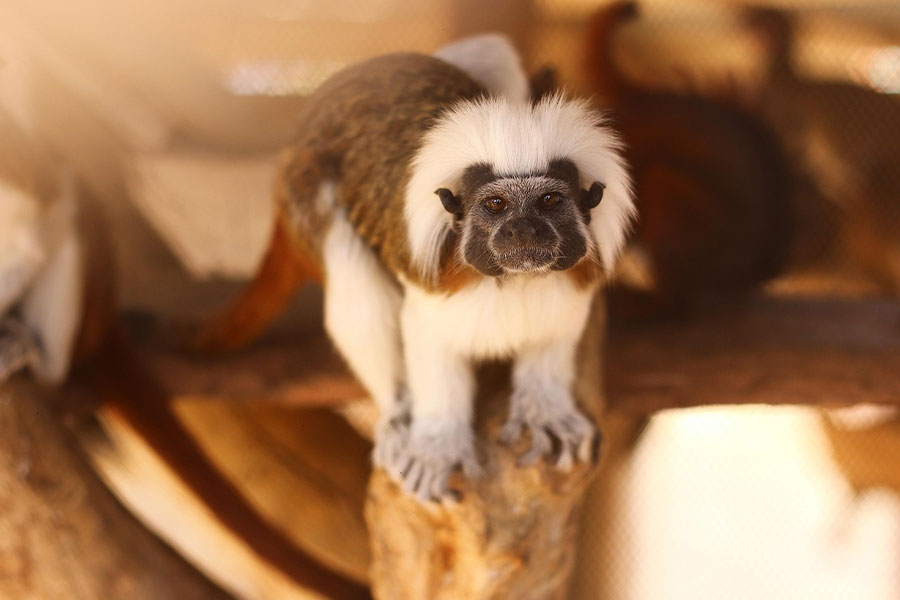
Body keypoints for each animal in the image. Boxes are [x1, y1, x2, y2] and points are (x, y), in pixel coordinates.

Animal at [191, 39, 634, 502]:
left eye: (549, 201)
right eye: (496, 205)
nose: (522, 229)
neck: (515, 280)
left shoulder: (575, 278)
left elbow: (555, 337)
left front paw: (544, 409)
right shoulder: (435, 281)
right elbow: (427, 341)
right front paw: (438, 443)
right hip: (303, 186)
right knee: (348, 266)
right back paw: (397, 410)